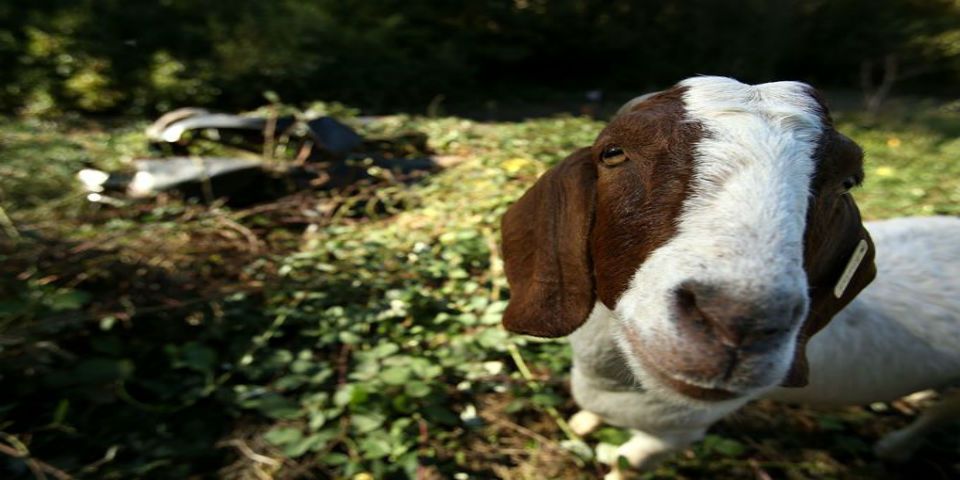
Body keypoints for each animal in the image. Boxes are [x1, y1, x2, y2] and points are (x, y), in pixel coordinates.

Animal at [499, 77, 958, 475]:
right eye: (612, 152)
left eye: (848, 181)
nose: (742, 322)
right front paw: (581, 425)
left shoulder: (673, 434)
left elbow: (626, 463)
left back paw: (895, 446)